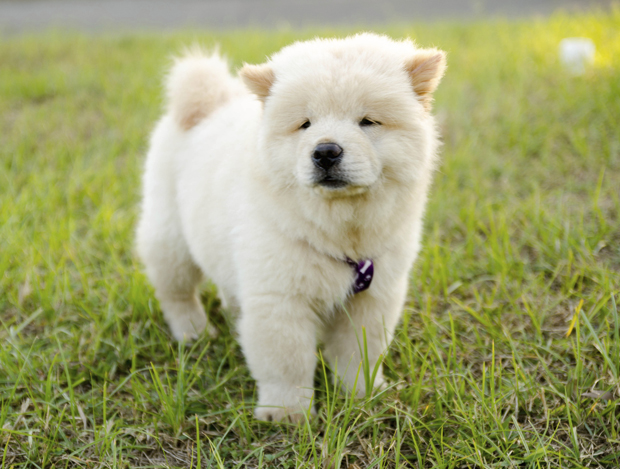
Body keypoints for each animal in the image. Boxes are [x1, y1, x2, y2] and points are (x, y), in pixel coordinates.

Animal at [136, 33, 446, 420]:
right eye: (305, 124)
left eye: (367, 122)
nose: (326, 151)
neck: (341, 232)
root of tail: (208, 107)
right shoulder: (281, 296)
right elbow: (287, 361)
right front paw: (286, 414)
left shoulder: (374, 295)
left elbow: (361, 352)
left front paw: (363, 396)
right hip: (172, 239)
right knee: (176, 292)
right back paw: (193, 331)